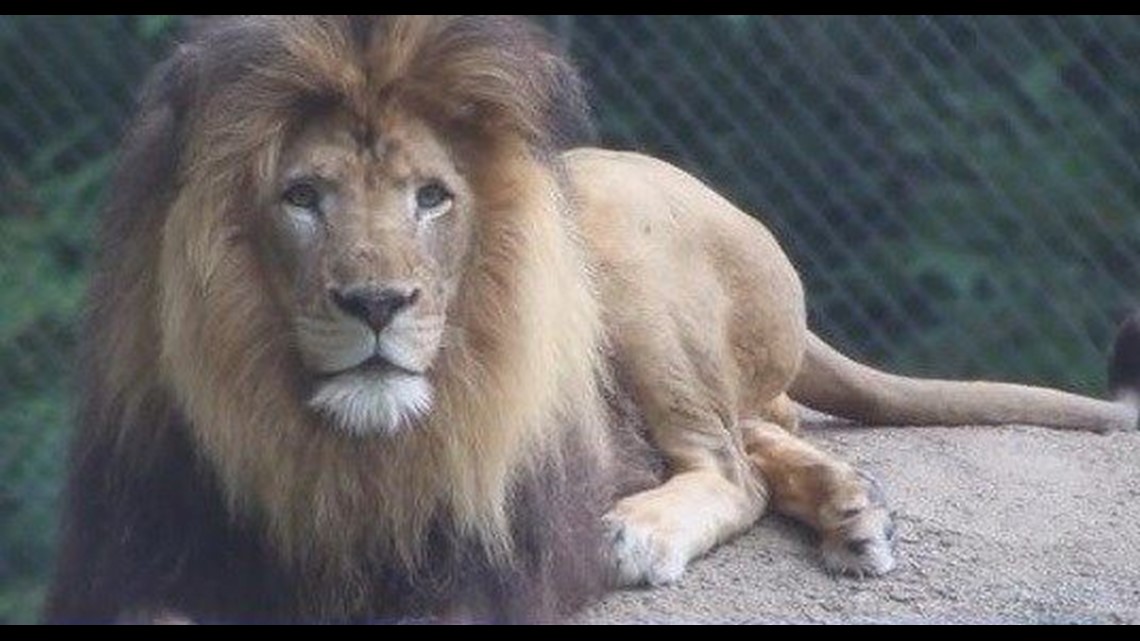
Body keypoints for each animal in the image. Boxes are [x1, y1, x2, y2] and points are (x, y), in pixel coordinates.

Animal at [46, 16, 1140, 625]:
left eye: (433, 198)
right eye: (303, 197)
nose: (377, 304)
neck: (340, 447)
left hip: (615, 245)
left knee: (730, 462)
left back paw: (648, 530)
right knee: (765, 428)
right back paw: (853, 510)